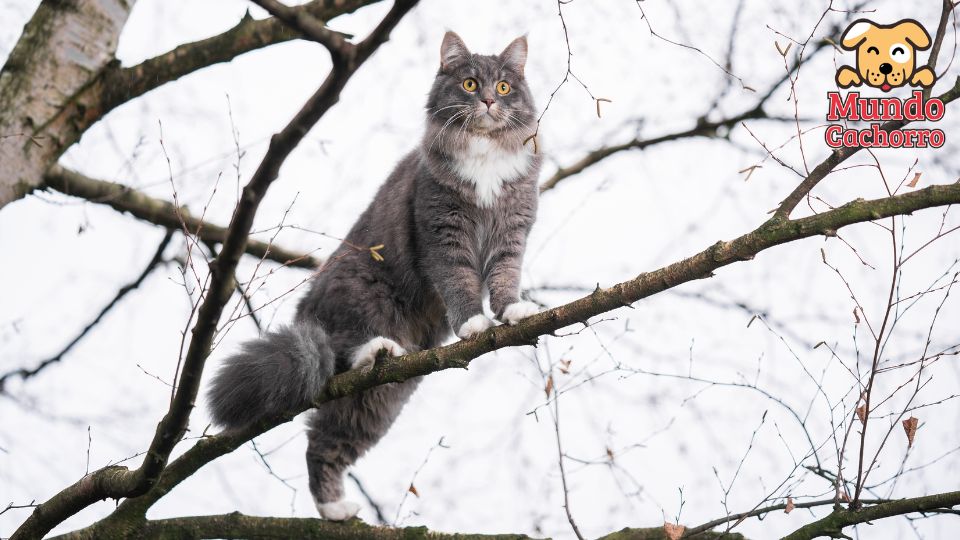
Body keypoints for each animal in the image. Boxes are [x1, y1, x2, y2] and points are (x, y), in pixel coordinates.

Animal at [207, 31, 540, 520]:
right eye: (469, 83)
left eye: (503, 87)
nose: (487, 103)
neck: (484, 158)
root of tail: (307, 315)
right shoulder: (442, 233)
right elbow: (459, 283)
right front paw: (474, 323)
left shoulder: (511, 232)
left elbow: (503, 278)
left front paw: (513, 311)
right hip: (364, 295)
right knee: (346, 352)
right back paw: (375, 350)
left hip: (378, 403)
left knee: (322, 443)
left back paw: (334, 509)